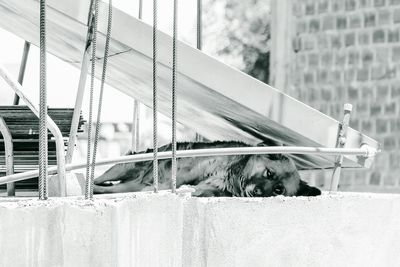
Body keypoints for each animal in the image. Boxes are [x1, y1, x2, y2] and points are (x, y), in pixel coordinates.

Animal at [92, 141, 320, 198]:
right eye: (269, 173)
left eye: (278, 190)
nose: (256, 192)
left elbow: (202, 190)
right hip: (123, 169)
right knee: (99, 180)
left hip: (128, 183)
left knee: (111, 187)